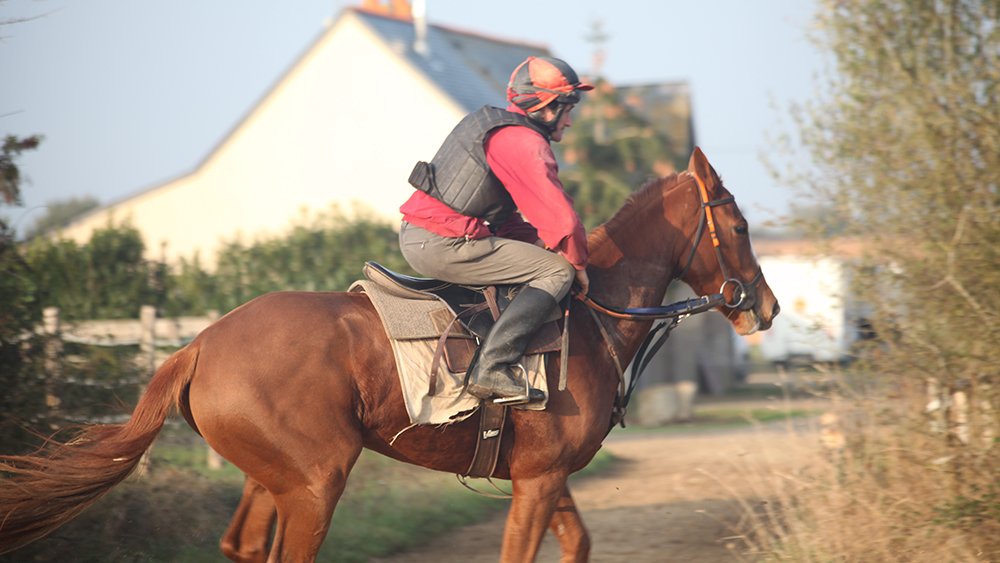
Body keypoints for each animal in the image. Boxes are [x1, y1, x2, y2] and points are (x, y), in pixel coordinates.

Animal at [0, 148, 779, 562]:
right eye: (740, 225)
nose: (765, 306)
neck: (591, 312)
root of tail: (196, 345)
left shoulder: (547, 479)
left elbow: (579, 542)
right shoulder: (538, 481)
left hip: (268, 479)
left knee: (244, 545)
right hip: (315, 483)